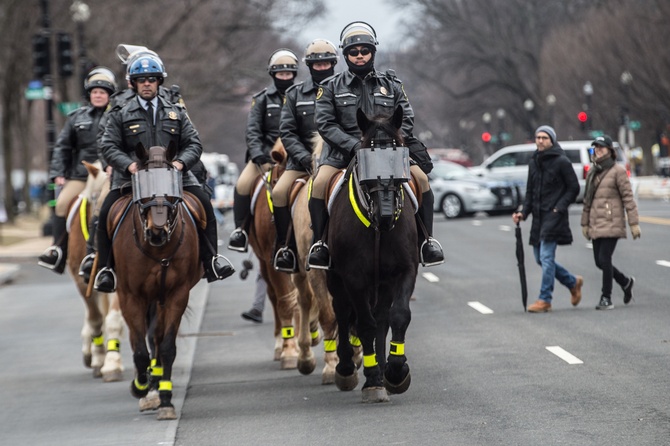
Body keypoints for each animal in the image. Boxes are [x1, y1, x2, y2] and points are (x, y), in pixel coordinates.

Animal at [68, 160, 126, 380]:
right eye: (95, 198)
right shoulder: (81, 280)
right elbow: (95, 319)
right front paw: (100, 358)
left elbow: (113, 319)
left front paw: (112, 363)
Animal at [113, 146, 201, 422]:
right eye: (142, 182)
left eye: (171, 184)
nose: (157, 232)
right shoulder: (130, 296)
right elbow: (140, 350)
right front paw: (140, 386)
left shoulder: (176, 295)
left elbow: (166, 346)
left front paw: (165, 399)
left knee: (156, 337)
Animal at [326, 106, 418, 402]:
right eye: (365, 153)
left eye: (399, 152)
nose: (386, 214)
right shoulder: (353, 277)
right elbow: (364, 323)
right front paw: (373, 379)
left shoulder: (404, 270)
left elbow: (397, 315)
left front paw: (395, 371)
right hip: (335, 278)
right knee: (343, 312)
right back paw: (346, 368)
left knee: (381, 318)